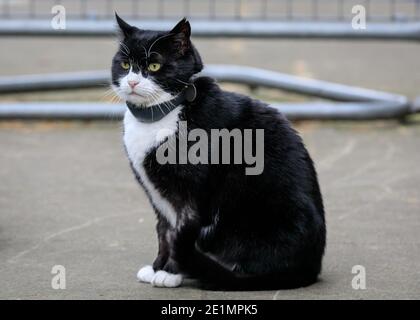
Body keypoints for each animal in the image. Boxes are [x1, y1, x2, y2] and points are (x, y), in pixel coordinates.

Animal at [110, 15, 324, 290]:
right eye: (125, 64)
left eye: (155, 65)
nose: (132, 81)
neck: (159, 115)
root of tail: (310, 269)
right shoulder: (157, 195)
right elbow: (163, 230)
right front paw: (157, 266)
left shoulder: (192, 193)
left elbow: (180, 229)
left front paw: (170, 272)